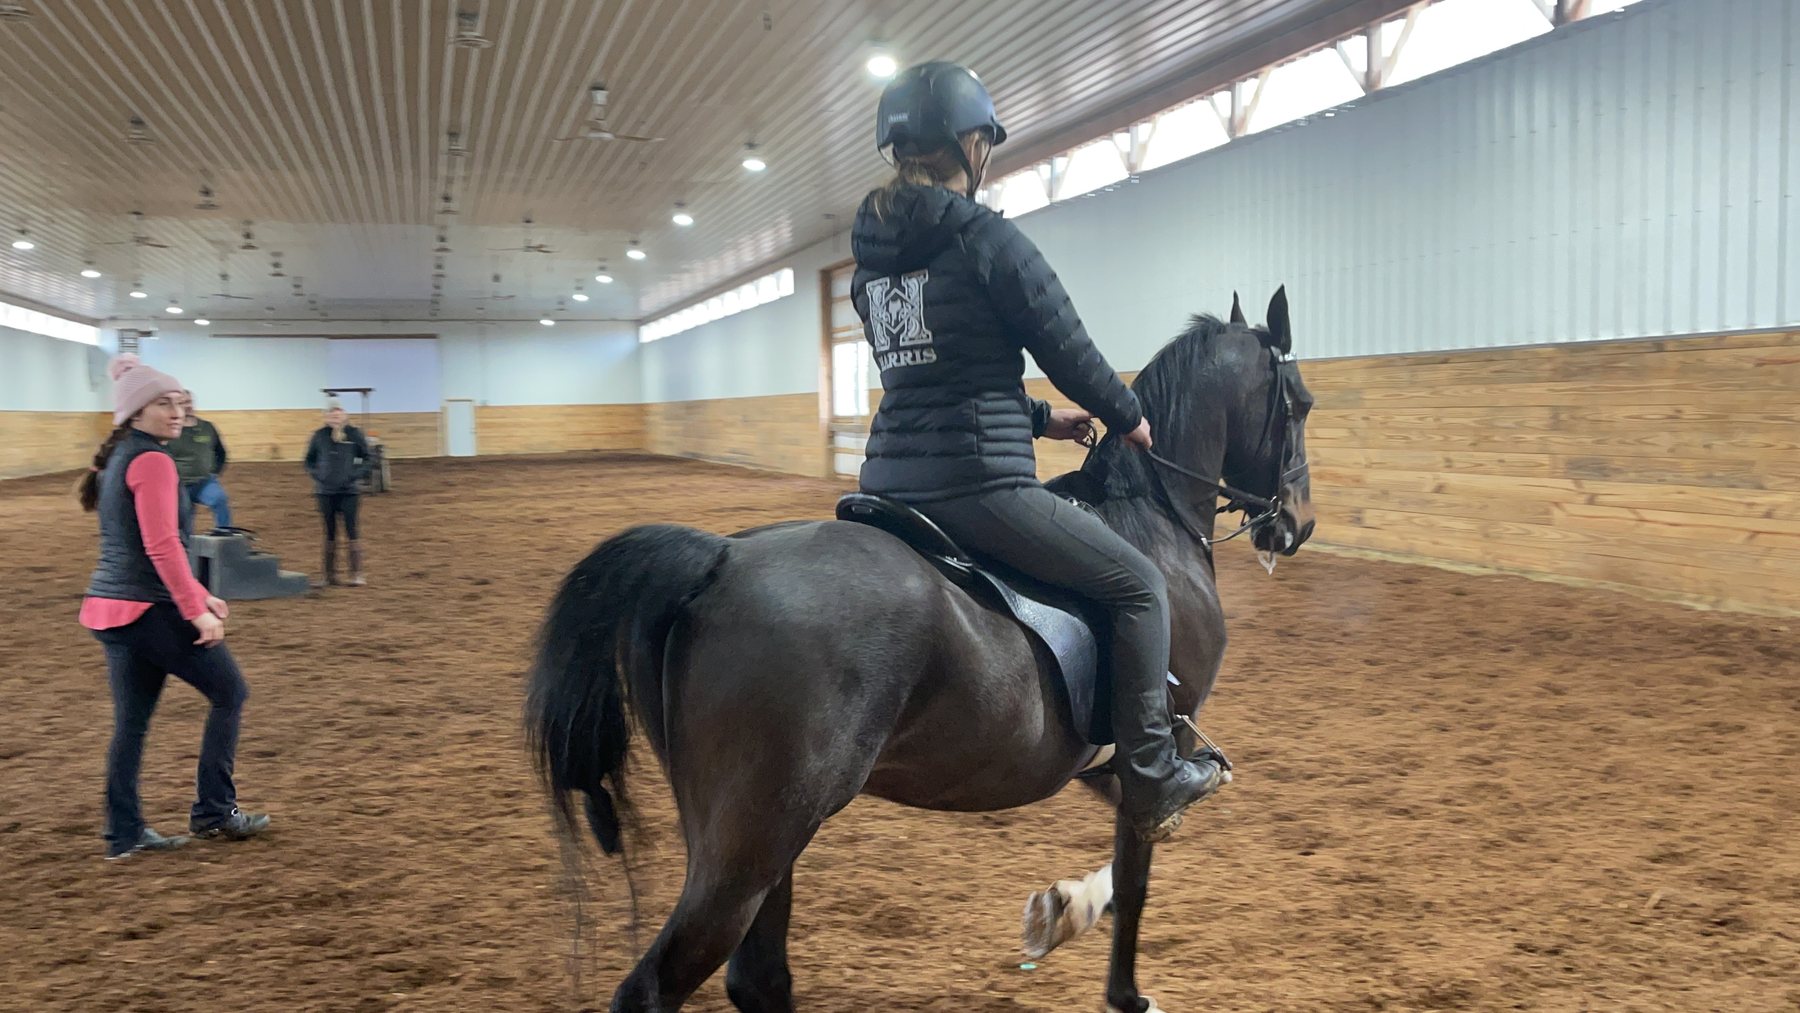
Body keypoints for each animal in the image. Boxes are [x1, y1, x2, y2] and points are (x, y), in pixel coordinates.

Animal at [525, 286, 1317, 1013]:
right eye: (1301, 404)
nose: (1297, 525)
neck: (1154, 516)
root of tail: (718, 560)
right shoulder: (1157, 743)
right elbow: (1140, 871)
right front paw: (1123, 990)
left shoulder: (1107, 762)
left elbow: (1121, 877)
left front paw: (1062, 910)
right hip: (750, 845)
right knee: (659, 986)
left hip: (765, 835)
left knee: (758, 977)